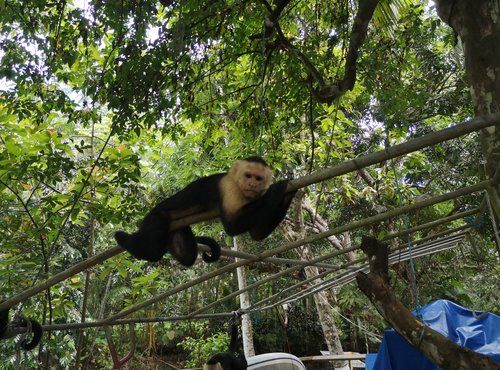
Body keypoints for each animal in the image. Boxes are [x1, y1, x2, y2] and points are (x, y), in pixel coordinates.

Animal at [115, 156, 294, 266]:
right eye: (248, 175)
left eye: (258, 178)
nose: (252, 184)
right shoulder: (230, 188)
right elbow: (232, 226)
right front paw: (275, 191)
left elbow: (256, 234)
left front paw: (289, 195)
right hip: (154, 218)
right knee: (154, 251)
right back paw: (124, 239)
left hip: (176, 230)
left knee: (188, 257)